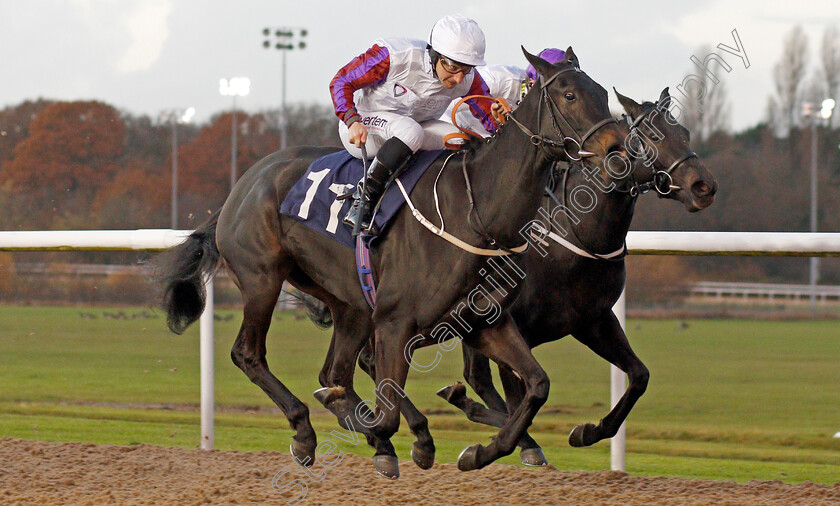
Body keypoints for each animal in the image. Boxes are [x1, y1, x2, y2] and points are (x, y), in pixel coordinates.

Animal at [158, 46, 628, 474]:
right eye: (569, 95)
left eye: (603, 94)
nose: (618, 150)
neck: (474, 212)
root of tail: (243, 184)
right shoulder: (395, 322)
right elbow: (385, 414)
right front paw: (395, 434)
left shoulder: (484, 322)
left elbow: (536, 386)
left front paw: (479, 452)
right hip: (263, 279)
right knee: (250, 354)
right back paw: (306, 430)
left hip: (347, 303)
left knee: (334, 372)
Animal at [436, 87, 720, 462]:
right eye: (648, 138)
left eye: (685, 132)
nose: (704, 186)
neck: (572, 235)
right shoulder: (510, 325)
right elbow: (520, 396)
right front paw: (507, 447)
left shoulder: (592, 320)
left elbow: (639, 375)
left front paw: (588, 432)